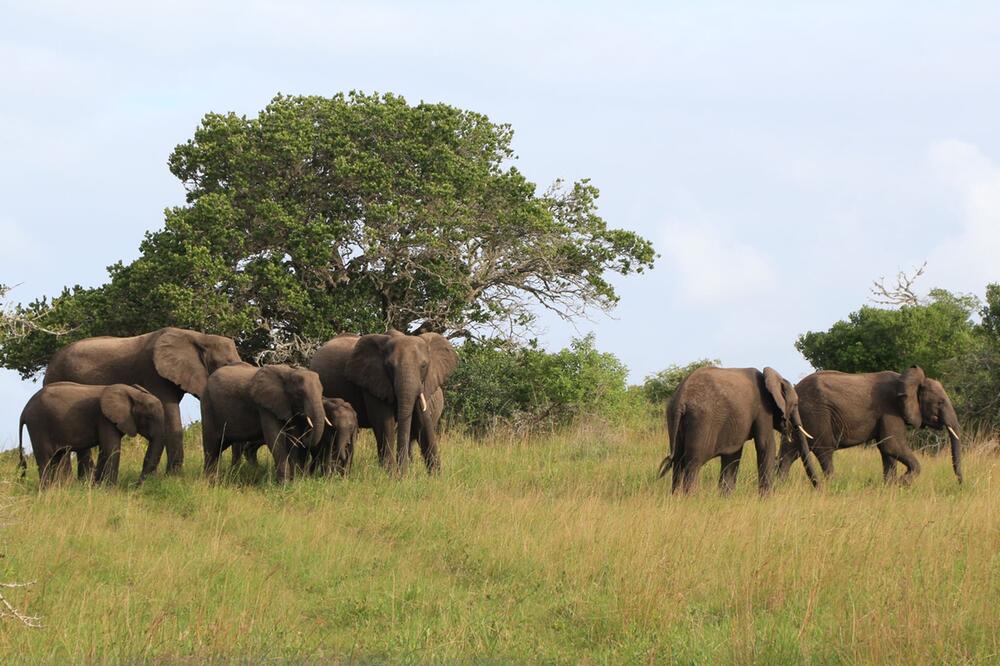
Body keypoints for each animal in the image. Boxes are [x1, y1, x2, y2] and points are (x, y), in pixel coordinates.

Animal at [17, 382, 165, 486]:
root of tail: (24, 410)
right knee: (46, 460)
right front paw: (110, 490)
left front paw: (97, 487)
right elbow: (111, 449)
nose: (135, 485)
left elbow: (105, 451)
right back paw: (46, 492)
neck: (133, 393)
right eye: (149, 417)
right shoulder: (105, 419)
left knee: (56, 459)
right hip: (38, 424)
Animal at [45, 324, 244, 474]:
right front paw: (174, 478)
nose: (233, 470)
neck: (198, 337)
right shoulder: (154, 374)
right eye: (225, 365)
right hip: (58, 377)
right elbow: (170, 419)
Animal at [310, 326, 458, 472]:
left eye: (424, 366)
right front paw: (390, 475)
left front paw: (435, 476)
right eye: (389, 366)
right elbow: (384, 423)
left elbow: (424, 423)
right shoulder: (372, 380)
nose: (402, 473)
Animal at [656, 366, 820, 490]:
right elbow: (766, 445)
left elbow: (733, 456)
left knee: (677, 461)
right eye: (796, 404)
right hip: (700, 421)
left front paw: (725, 498)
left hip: (672, 418)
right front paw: (766, 501)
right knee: (693, 463)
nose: (820, 489)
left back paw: (677, 498)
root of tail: (681, 399)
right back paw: (691, 499)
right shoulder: (763, 409)